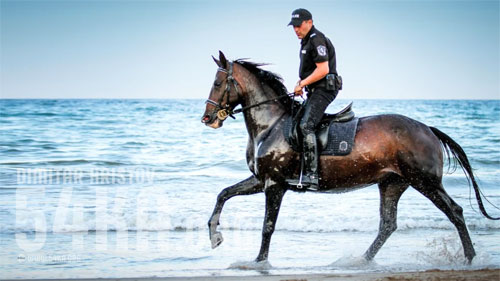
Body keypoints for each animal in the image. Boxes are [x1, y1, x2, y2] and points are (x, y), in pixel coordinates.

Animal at [199, 50, 496, 266]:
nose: (208, 118)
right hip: (392, 184)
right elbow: (223, 193)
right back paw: (359, 261)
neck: (271, 124)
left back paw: (470, 258)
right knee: (388, 224)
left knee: (455, 212)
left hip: (426, 182)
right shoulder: (261, 180)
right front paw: (215, 236)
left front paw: (259, 262)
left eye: (217, 83)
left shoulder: (274, 185)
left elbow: (267, 227)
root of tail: (428, 129)